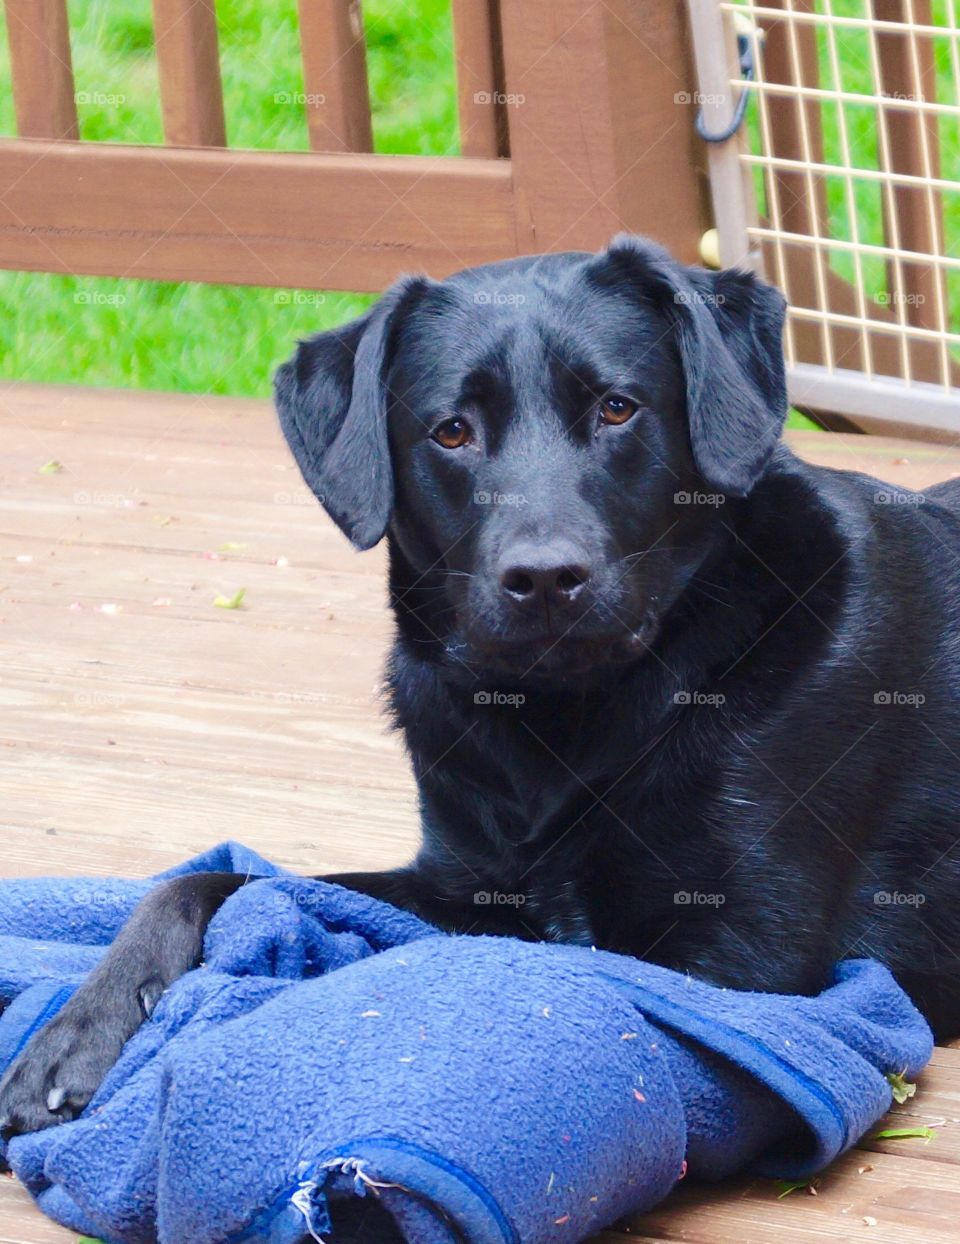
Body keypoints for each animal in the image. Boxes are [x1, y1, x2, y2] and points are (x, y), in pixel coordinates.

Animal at [1, 233, 960, 1139]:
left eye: (617, 408)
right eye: (451, 431)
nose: (545, 578)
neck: (565, 724)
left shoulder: (738, 961)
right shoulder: (461, 885)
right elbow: (214, 879)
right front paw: (77, 1033)